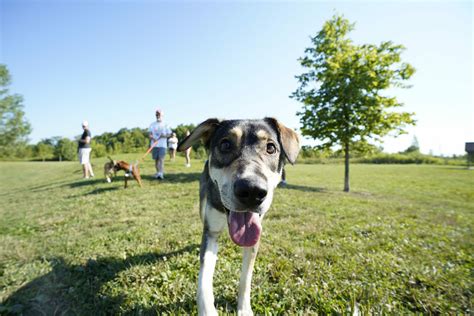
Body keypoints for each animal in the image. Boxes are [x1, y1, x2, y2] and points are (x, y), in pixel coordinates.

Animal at [178, 117, 300, 314]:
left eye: (271, 147)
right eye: (225, 144)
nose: (252, 191)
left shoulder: (254, 238)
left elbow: (246, 278)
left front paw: (244, 309)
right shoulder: (210, 232)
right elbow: (204, 279)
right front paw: (207, 310)